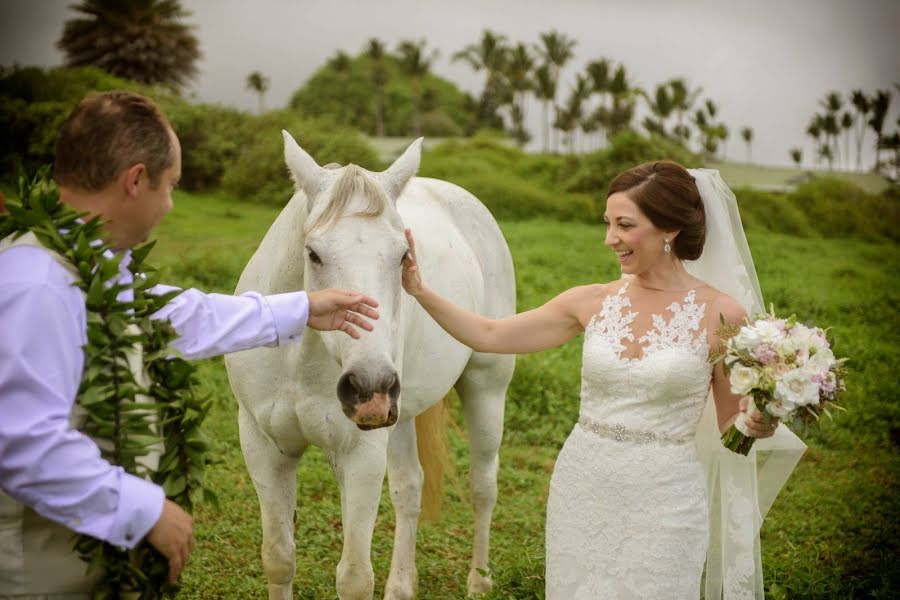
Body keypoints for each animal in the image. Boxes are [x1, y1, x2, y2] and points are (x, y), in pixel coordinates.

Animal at [222, 132, 516, 600]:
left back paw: (479, 580)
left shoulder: (359, 455)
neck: (299, 364)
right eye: (313, 254)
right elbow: (278, 558)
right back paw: (402, 586)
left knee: (483, 485)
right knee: (410, 487)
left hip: (485, 388)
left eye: (403, 256)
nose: (369, 387)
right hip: (399, 416)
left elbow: (355, 577)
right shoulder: (263, 446)